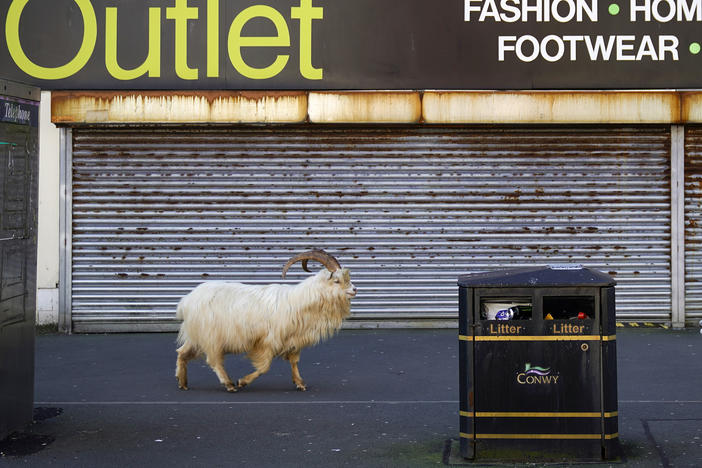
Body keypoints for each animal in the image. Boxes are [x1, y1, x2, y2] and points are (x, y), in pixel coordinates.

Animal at [176, 250, 358, 394]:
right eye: (336, 281)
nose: (355, 290)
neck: (299, 300)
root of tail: (186, 301)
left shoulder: (293, 340)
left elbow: (294, 361)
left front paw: (300, 383)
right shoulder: (268, 340)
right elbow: (264, 366)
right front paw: (242, 381)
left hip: (196, 335)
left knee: (182, 352)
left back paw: (182, 382)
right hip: (211, 336)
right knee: (214, 360)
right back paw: (229, 384)